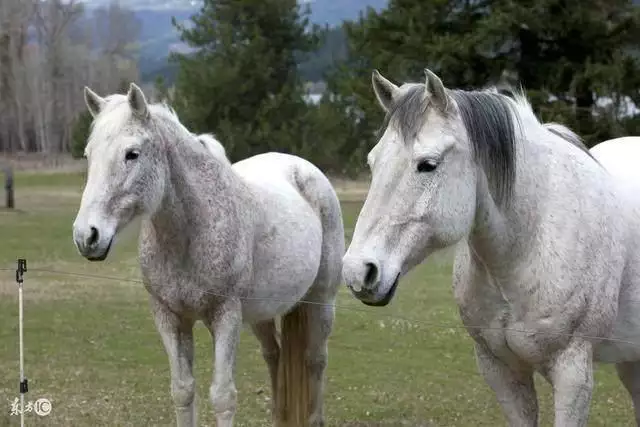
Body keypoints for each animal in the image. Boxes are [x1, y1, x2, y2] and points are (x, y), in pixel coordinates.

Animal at [70, 83, 344, 427]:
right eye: (89, 155)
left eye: (132, 154)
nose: (87, 236)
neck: (190, 233)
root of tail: (302, 168)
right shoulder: (170, 318)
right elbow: (183, 390)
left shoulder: (226, 317)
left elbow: (223, 396)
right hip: (262, 313)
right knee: (275, 355)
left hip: (321, 301)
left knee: (315, 360)